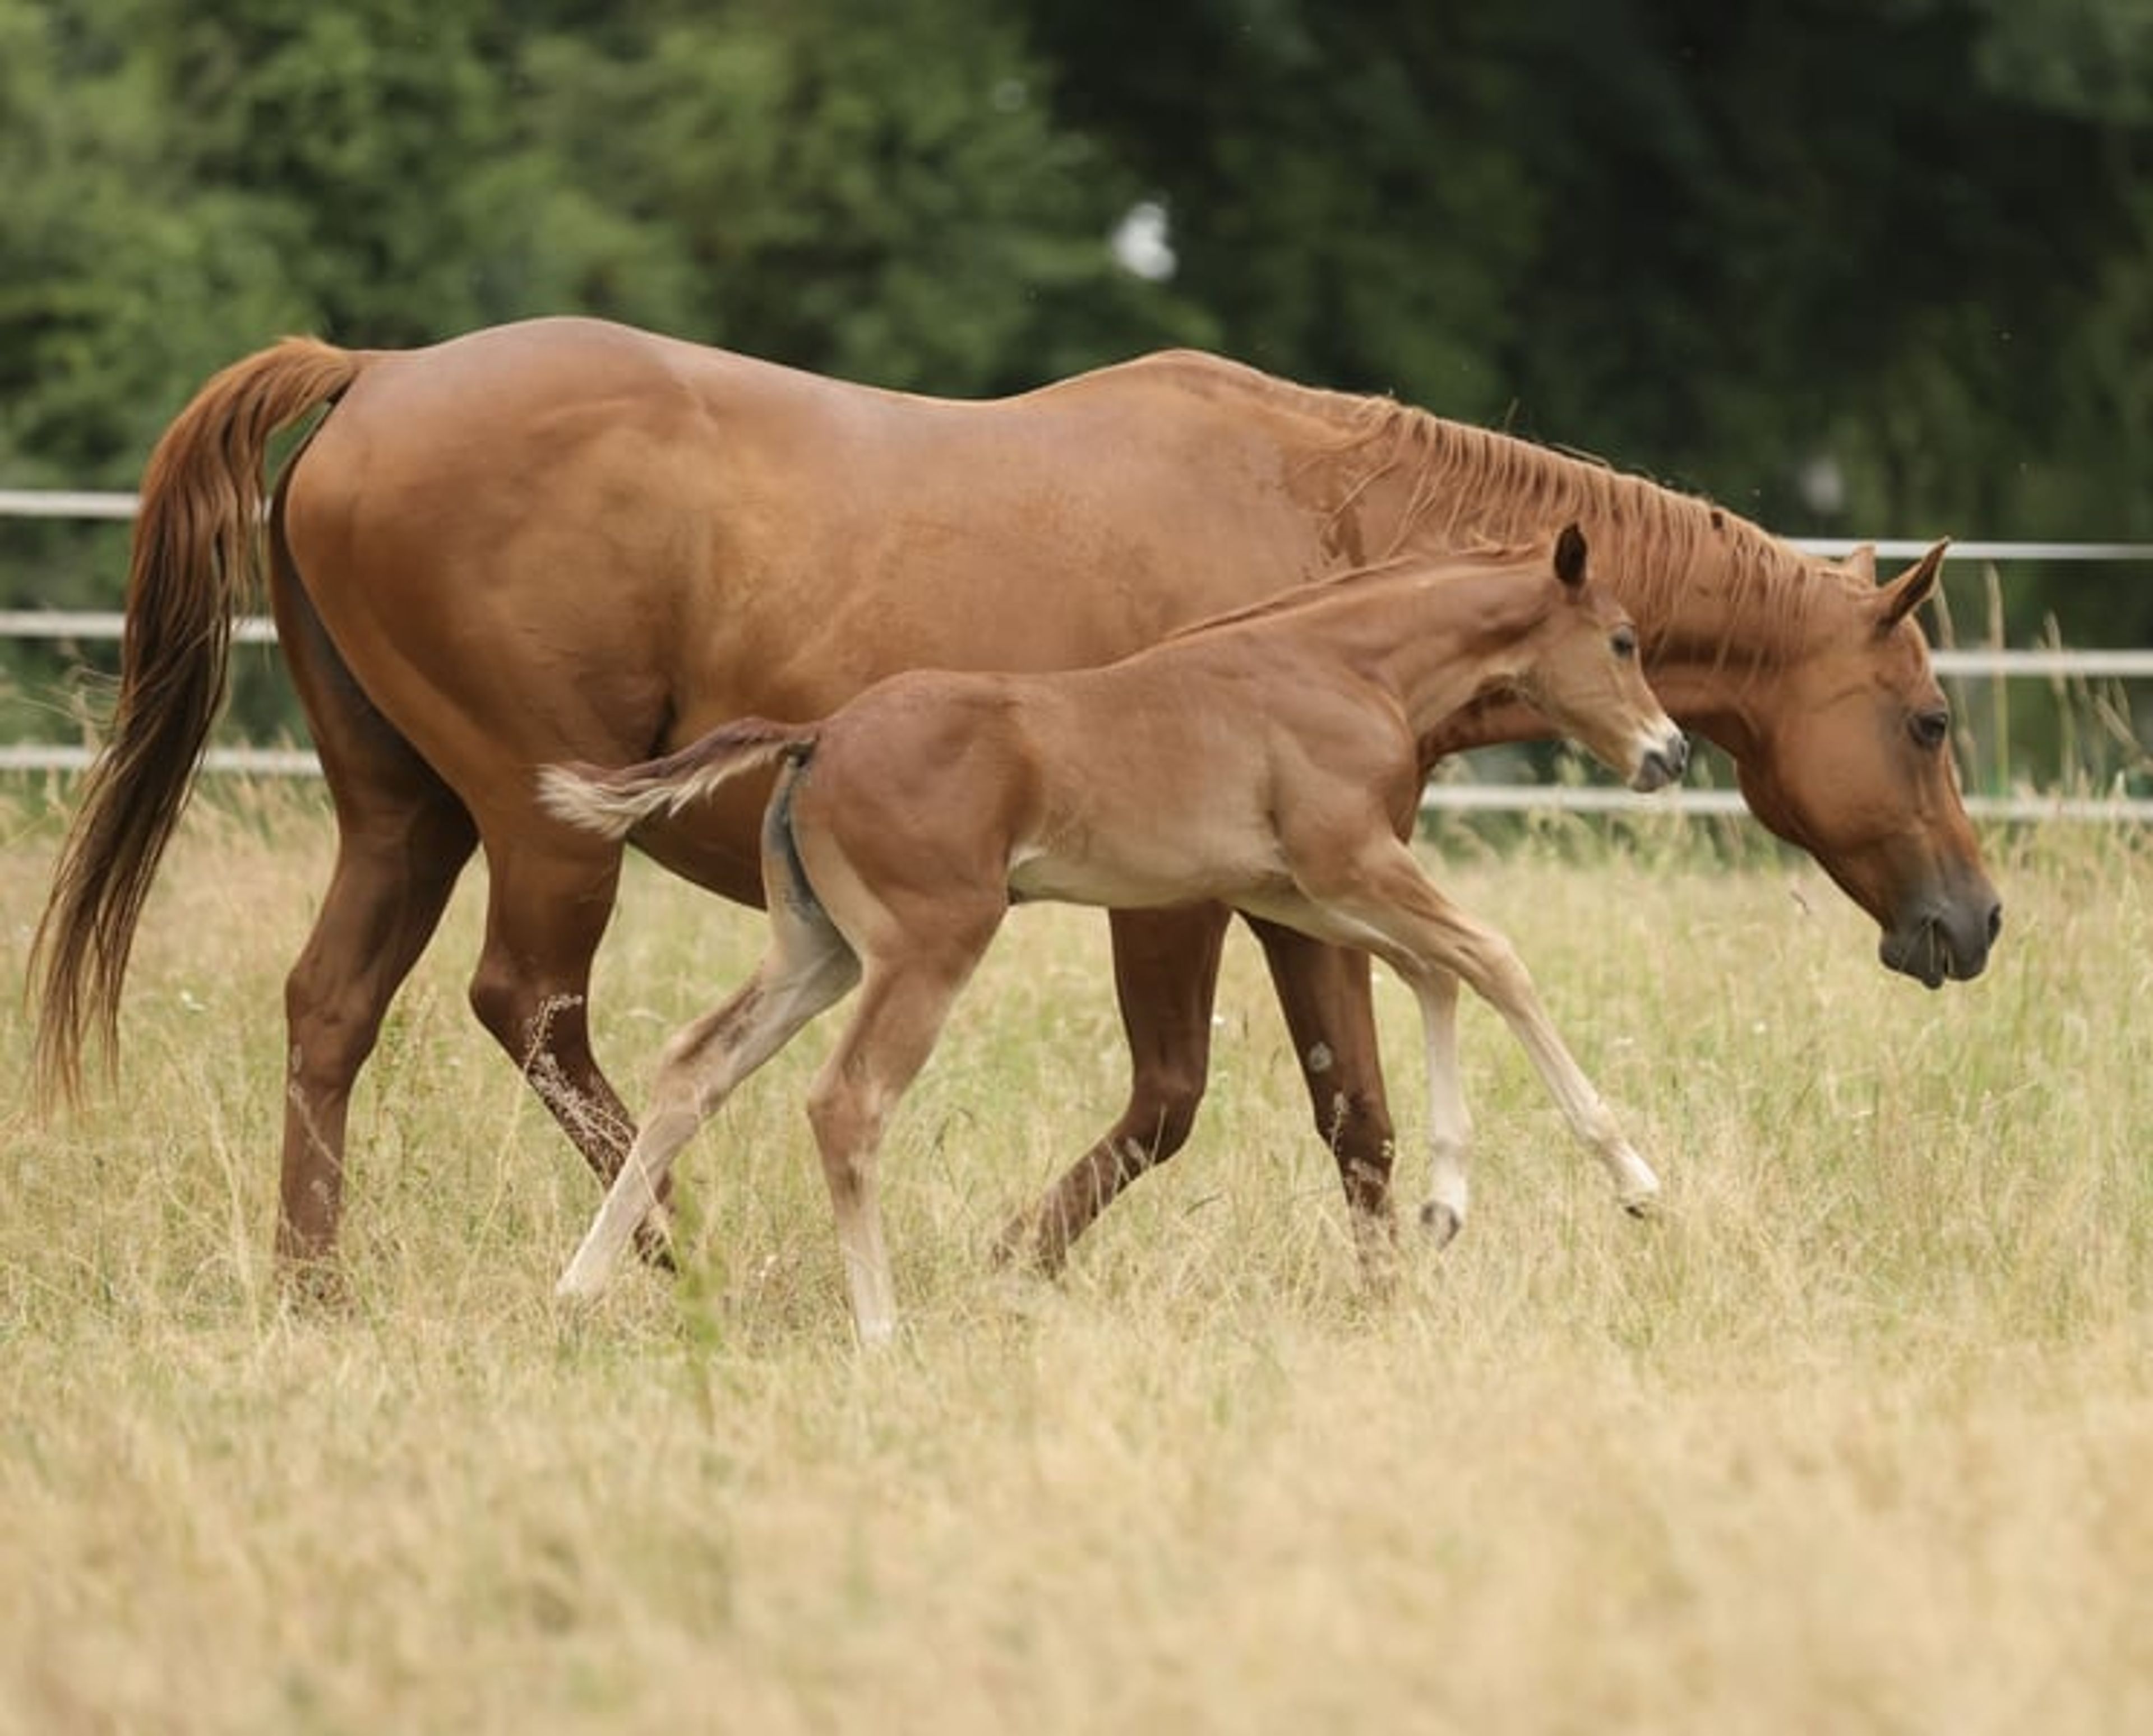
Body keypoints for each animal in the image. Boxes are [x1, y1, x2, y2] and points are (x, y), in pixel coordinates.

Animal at [542, 527, 1687, 1341]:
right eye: (1624, 640)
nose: (1669, 754)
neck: (1345, 665)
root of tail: (817, 737)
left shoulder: (1290, 886)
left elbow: (1431, 971)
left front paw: (1447, 1206)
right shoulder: (1352, 860)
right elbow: (1493, 957)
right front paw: (1636, 1183)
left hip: (815, 951)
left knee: (694, 1066)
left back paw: (580, 1290)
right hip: (928, 946)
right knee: (846, 1103)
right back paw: (880, 1327)